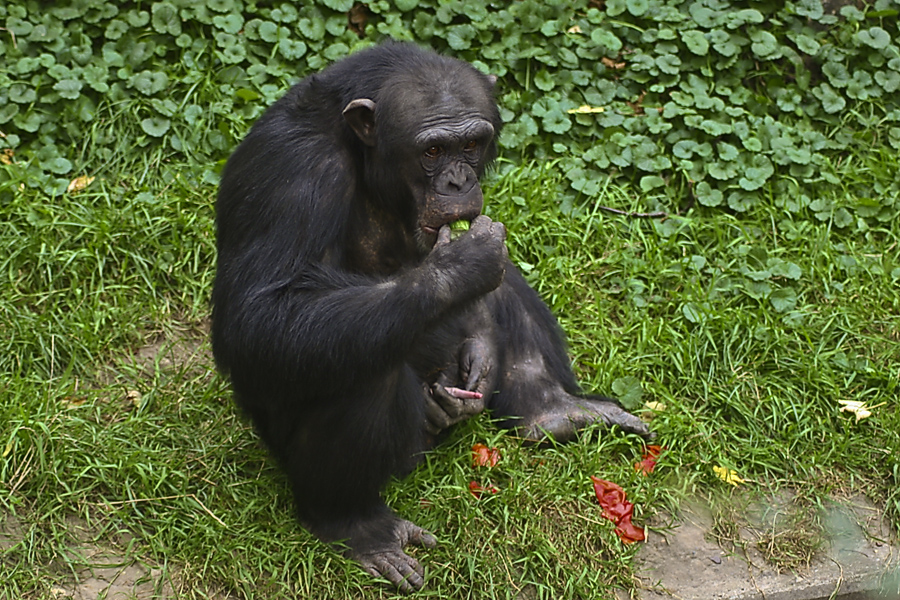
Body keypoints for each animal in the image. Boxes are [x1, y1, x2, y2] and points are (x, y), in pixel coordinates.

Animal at [211, 42, 648, 592]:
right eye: (433, 152)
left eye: (473, 144)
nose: (459, 180)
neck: (364, 158)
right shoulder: (293, 171)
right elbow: (260, 316)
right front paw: (461, 265)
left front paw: (480, 354)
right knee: (357, 367)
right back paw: (356, 525)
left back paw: (553, 410)